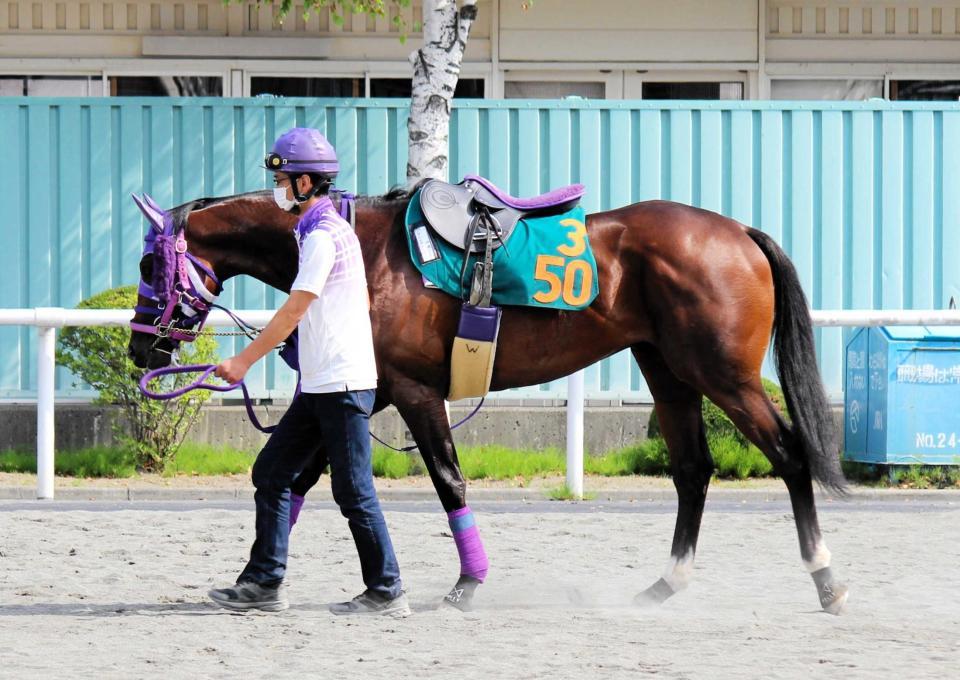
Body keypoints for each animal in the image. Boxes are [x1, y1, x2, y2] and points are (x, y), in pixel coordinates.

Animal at [127, 184, 849, 614]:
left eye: (146, 266)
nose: (140, 351)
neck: (359, 250)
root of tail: (740, 232)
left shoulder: (412, 391)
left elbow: (447, 480)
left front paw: (467, 582)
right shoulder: (370, 393)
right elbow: (296, 479)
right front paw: (257, 578)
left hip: (724, 375)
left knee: (790, 456)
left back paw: (825, 577)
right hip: (668, 371)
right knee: (694, 471)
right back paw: (666, 583)